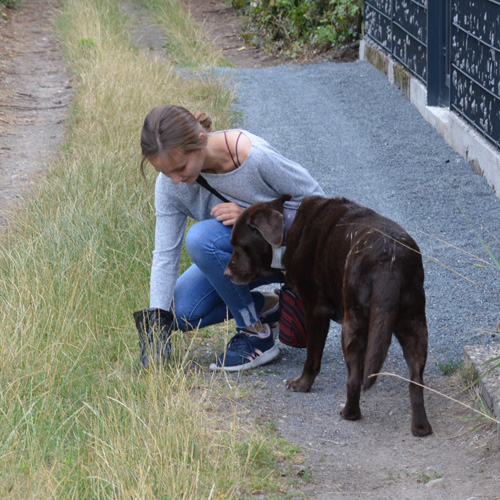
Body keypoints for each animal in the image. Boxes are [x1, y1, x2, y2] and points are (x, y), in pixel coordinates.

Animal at [225, 193, 432, 436]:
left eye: (240, 246)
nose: (226, 273)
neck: (288, 226)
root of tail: (388, 260)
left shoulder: (315, 310)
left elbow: (312, 357)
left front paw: (302, 384)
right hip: (414, 323)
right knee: (416, 380)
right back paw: (421, 427)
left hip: (352, 325)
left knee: (353, 379)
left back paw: (349, 413)